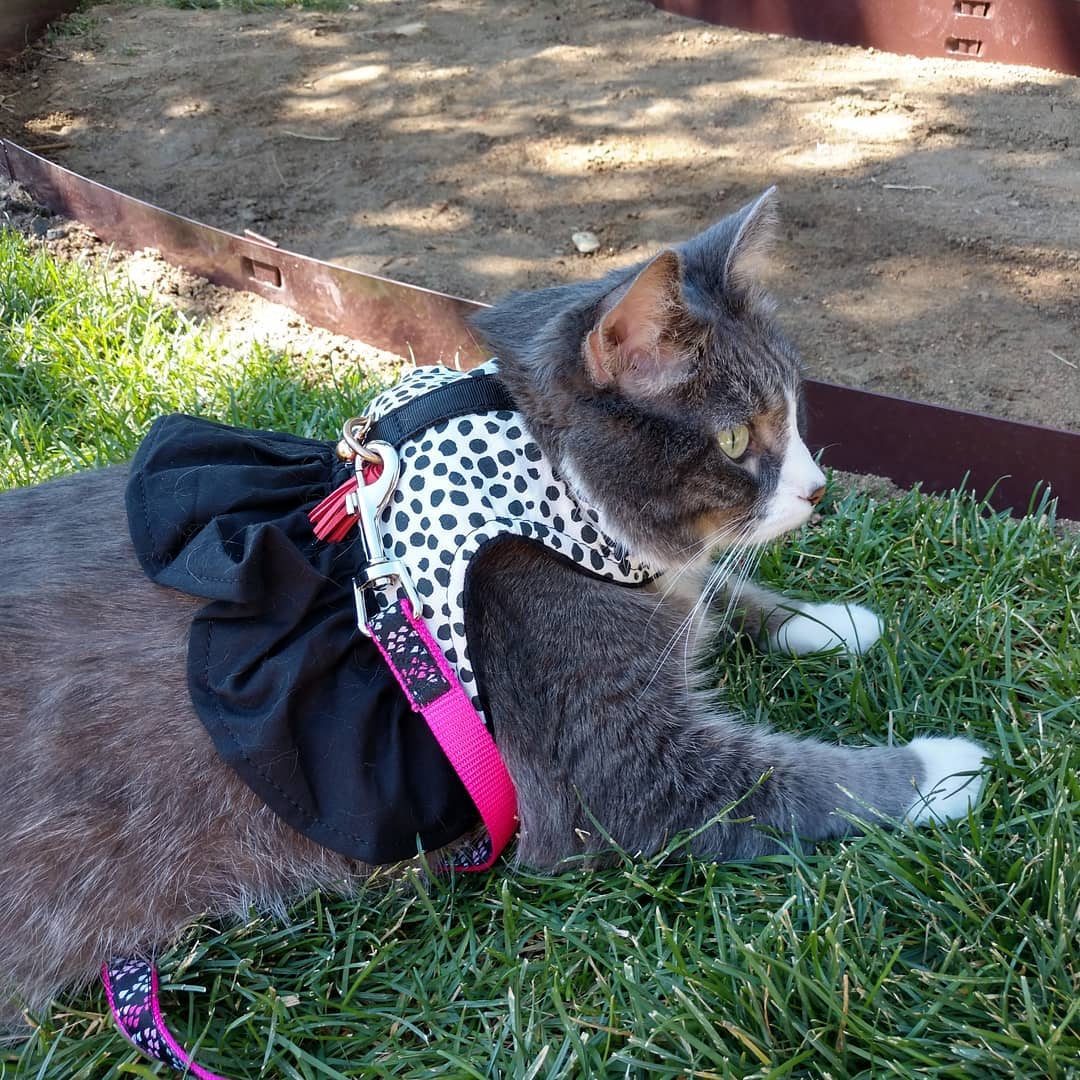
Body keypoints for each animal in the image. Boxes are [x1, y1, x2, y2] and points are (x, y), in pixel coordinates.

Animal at [0, 188, 985, 1024]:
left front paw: (825, 620)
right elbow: (784, 780)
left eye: (797, 407)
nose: (819, 489)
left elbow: (712, 585)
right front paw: (944, 768)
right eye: (740, 437)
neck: (549, 491)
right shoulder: (617, 764)